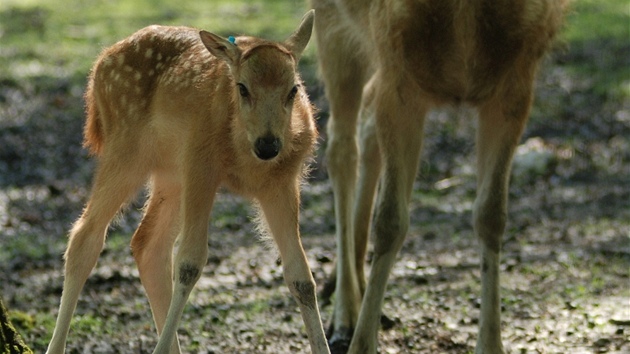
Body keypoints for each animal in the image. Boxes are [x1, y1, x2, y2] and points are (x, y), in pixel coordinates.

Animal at [44, 11, 330, 354]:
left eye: (294, 89)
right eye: (242, 88)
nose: (268, 145)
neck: (245, 160)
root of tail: (99, 64)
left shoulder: (282, 183)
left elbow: (301, 276)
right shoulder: (200, 164)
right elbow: (189, 263)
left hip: (170, 173)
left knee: (147, 244)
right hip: (126, 148)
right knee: (85, 235)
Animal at [314, 0, 572, 354]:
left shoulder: (518, 75)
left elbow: (491, 214)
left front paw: (491, 344)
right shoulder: (396, 63)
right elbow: (390, 221)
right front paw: (362, 345)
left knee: (366, 118)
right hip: (330, 23)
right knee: (340, 146)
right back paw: (345, 316)